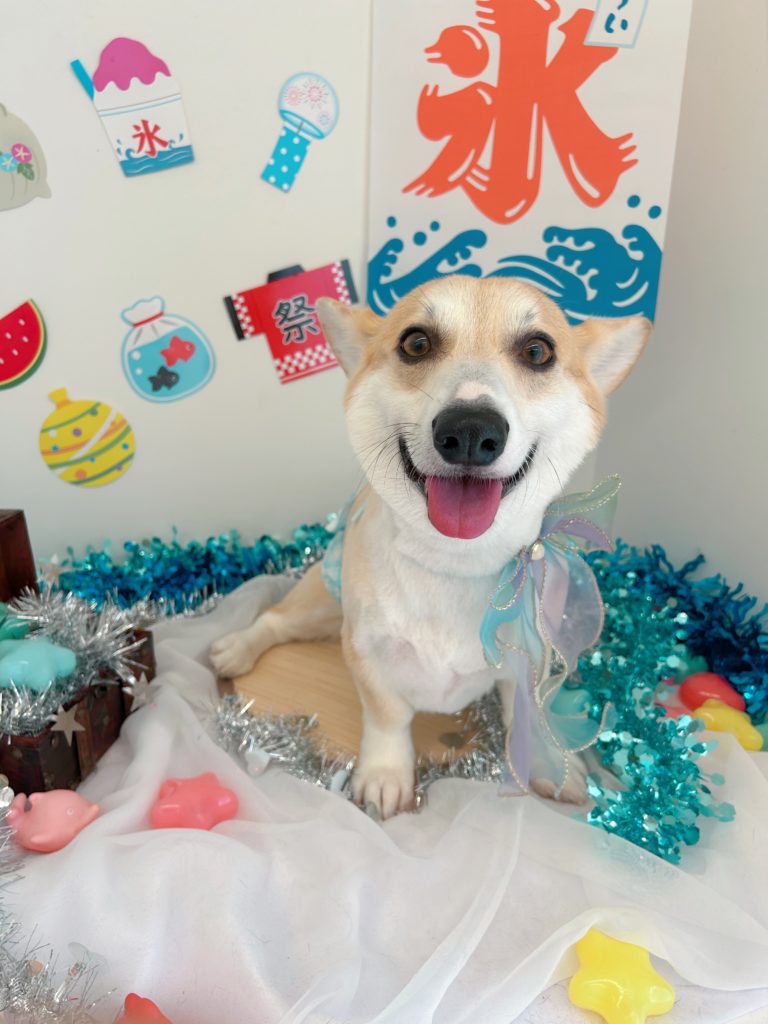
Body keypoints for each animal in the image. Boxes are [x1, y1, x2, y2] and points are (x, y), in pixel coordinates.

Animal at [210, 276, 650, 818]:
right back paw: (235, 648)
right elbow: (388, 717)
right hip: (321, 604)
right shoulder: (366, 651)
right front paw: (386, 775)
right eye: (416, 343)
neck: (454, 562)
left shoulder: (530, 659)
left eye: (537, 351)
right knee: (273, 619)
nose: (470, 430)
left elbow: (526, 712)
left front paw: (548, 764)